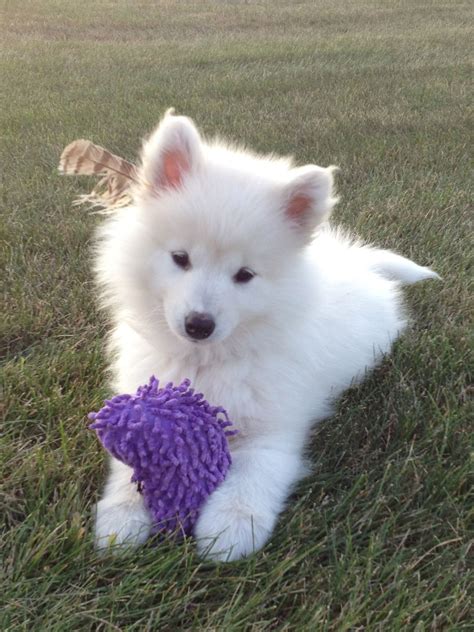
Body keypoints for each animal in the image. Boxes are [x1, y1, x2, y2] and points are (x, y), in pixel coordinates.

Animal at [91, 111, 436, 560]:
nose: (198, 324)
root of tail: (358, 263)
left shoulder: (274, 427)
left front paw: (229, 528)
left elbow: (253, 473)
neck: (206, 361)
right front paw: (122, 517)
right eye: (180, 258)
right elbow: (128, 462)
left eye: (244, 275)